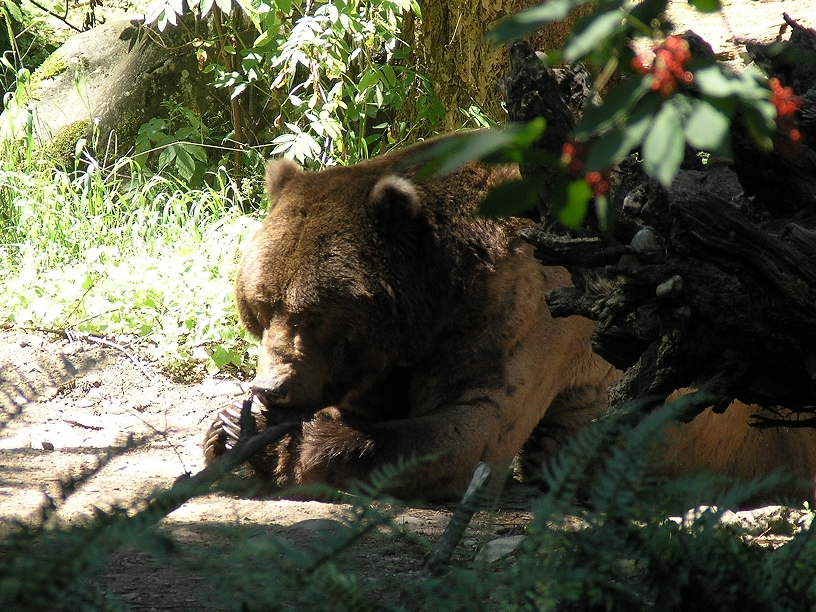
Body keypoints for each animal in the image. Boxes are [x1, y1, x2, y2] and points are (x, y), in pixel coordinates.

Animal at [204, 134, 816, 502]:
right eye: (260, 305)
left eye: (314, 316)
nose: (271, 386)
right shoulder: (386, 357)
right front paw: (230, 424)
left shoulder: (521, 313)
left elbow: (471, 429)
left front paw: (282, 443)